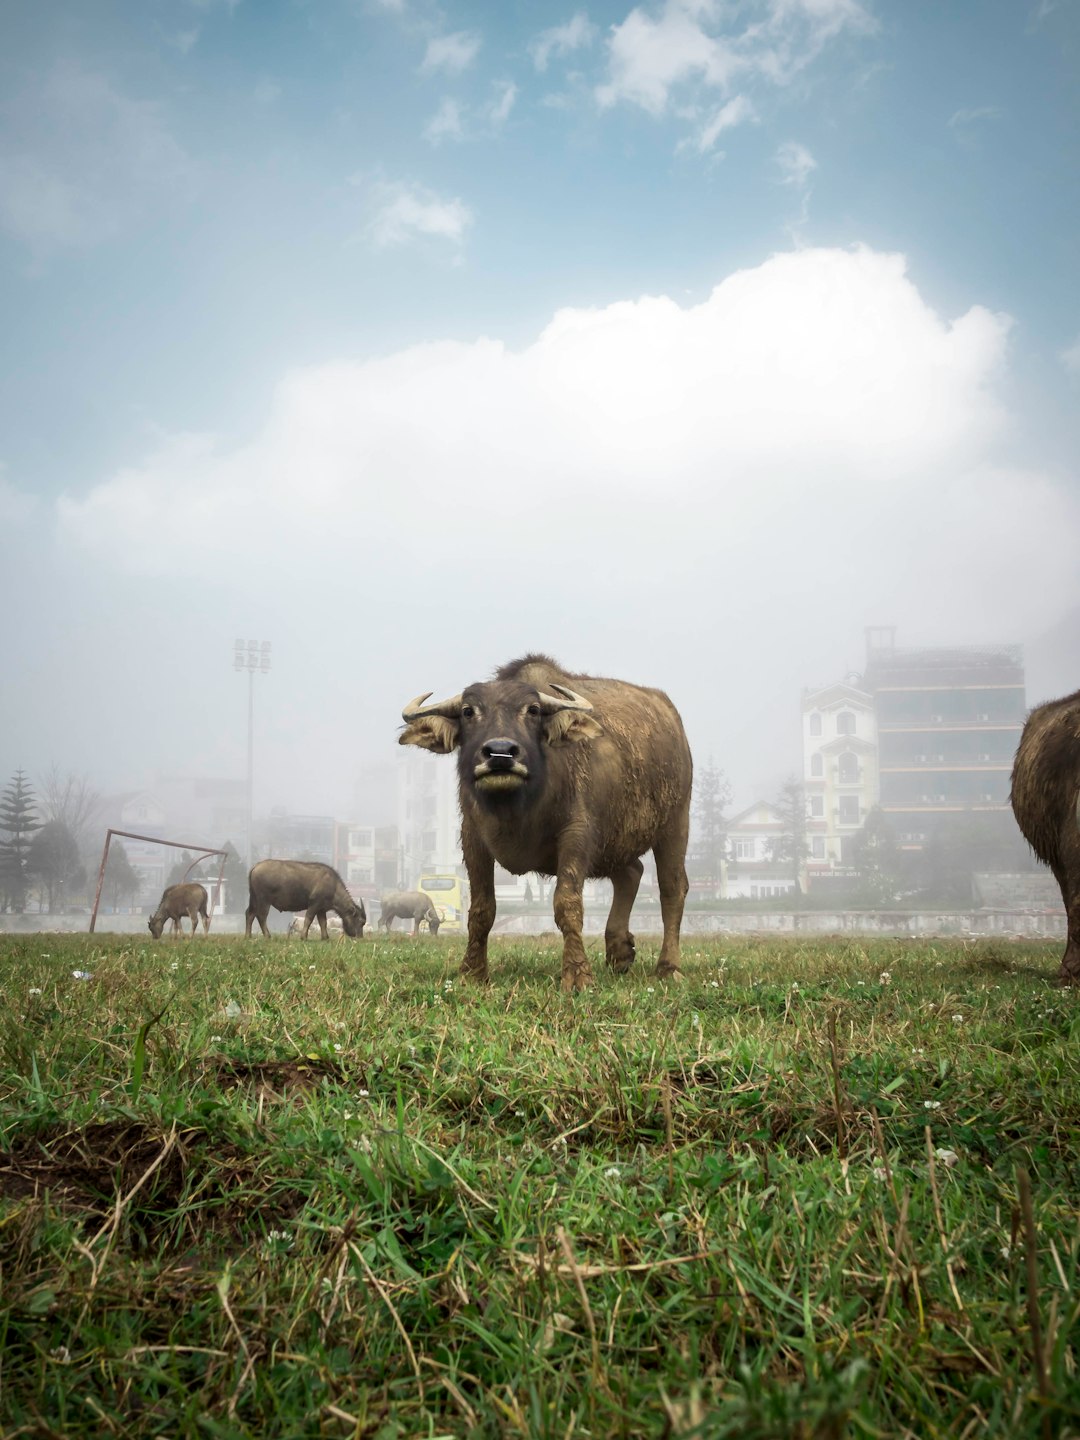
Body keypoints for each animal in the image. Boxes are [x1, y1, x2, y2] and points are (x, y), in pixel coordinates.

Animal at [400, 653, 694, 990]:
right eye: (467, 711)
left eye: (533, 710)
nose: (500, 753)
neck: (517, 806)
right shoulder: (472, 837)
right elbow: (482, 909)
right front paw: (472, 972)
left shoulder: (576, 834)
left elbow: (567, 904)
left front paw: (578, 974)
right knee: (631, 873)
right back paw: (619, 952)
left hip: (676, 823)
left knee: (672, 888)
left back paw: (668, 967)